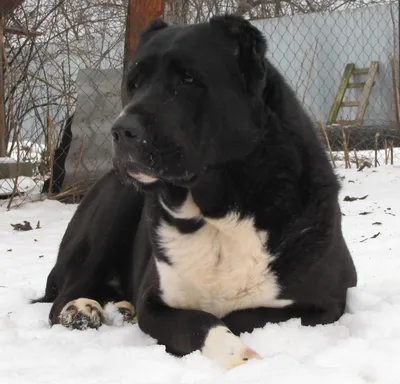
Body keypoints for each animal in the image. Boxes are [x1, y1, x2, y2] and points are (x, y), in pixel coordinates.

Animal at [32, 15, 356, 368]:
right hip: (114, 209)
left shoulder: (325, 303)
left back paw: (120, 307)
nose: (120, 130)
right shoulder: (156, 303)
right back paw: (82, 308)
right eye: (134, 84)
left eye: (188, 79)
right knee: (63, 297)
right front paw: (240, 356)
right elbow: (201, 321)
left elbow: (241, 314)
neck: (217, 214)